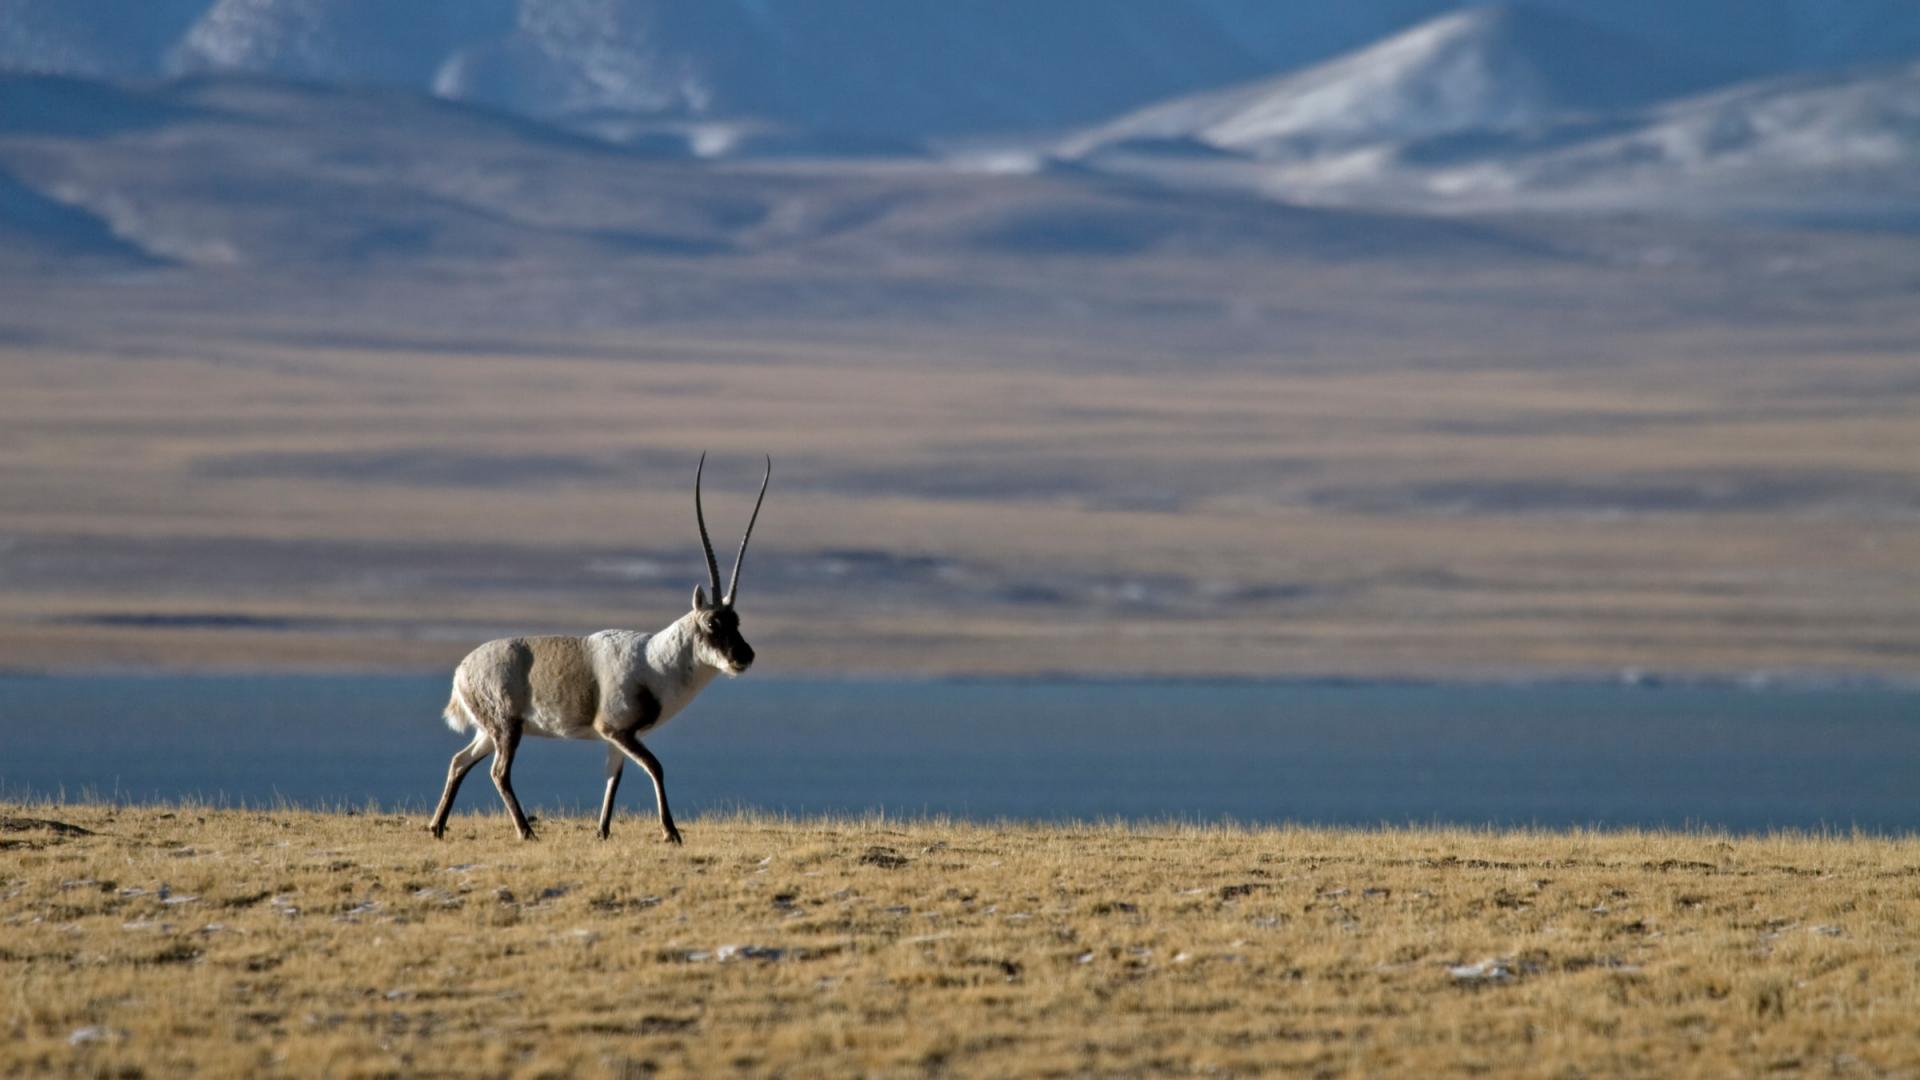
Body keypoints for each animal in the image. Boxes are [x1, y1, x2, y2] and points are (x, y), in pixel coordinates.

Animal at [430, 451, 771, 841]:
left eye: (736, 621)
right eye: (713, 622)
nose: (744, 656)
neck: (655, 660)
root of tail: (462, 669)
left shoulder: (617, 738)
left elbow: (614, 779)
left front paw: (603, 831)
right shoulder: (617, 730)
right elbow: (655, 767)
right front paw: (671, 832)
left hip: (489, 732)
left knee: (460, 761)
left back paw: (437, 826)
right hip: (506, 728)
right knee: (498, 772)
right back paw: (525, 831)